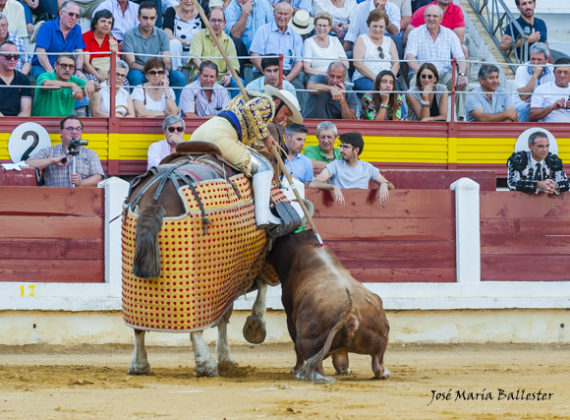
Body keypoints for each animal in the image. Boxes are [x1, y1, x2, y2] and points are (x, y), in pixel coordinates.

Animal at [268, 230, 390, 384]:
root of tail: (351, 314)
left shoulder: (289, 314)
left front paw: (295, 369)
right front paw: (343, 369)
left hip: (306, 341)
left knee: (314, 365)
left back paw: (302, 373)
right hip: (381, 338)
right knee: (377, 362)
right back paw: (382, 372)